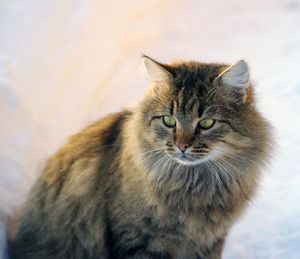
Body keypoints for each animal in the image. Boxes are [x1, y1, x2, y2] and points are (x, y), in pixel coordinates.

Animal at [9, 55, 274, 258]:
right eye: (169, 120)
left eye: (207, 123)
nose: (182, 146)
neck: (194, 184)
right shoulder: (137, 239)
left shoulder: (209, 241)